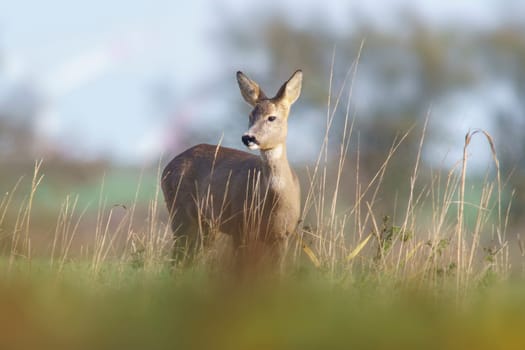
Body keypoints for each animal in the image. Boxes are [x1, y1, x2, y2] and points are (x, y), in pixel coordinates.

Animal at [160, 69, 300, 266]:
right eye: (250, 116)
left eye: (272, 117)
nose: (248, 137)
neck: (275, 201)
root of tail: (168, 166)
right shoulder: (240, 226)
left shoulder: (282, 235)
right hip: (179, 212)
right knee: (177, 258)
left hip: (206, 226)